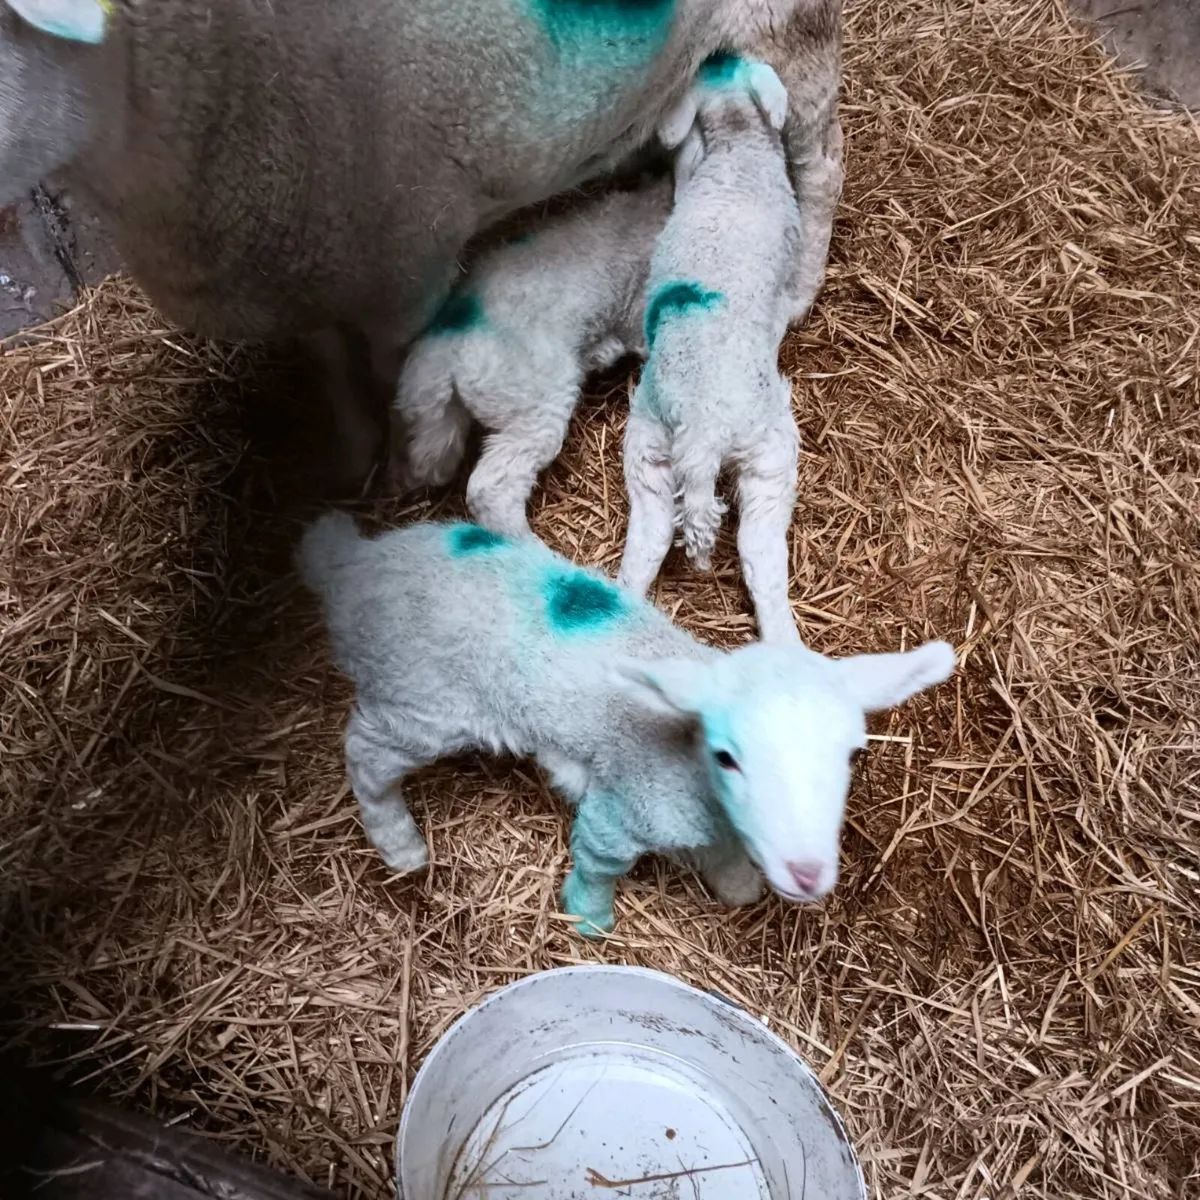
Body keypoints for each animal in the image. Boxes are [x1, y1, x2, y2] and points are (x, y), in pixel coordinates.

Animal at [0, 0, 843, 485]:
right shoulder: (317, 268)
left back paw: (799, 288)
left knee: (820, 160)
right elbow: (331, 365)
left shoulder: (409, 267)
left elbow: (396, 371)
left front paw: (406, 460)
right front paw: (350, 456)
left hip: (792, 31)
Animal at [298, 512, 957, 936]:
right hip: (422, 701)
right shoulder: (621, 808)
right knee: (366, 755)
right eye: (728, 756)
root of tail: (356, 565)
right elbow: (598, 862)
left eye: (850, 755)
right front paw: (589, 920)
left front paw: (738, 885)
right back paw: (399, 843)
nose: (807, 874)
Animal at [391, 177, 673, 536]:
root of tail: (448, 348)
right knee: (491, 488)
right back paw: (526, 542)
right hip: (535, 406)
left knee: (430, 454)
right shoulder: (640, 309)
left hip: (432, 407)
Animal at [617, 55, 806, 646]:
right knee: (762, 555)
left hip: (648, 448)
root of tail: (702, 431)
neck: (735, 144)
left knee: (647, 543)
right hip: (771, 452)